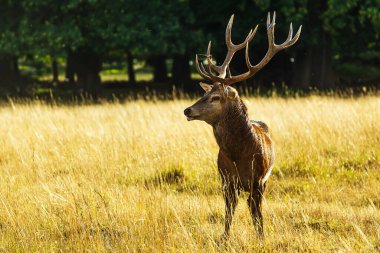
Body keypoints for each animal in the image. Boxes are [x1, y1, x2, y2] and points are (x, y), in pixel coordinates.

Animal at [183, 12, 302, 239]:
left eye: (215, 97)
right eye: (204, 93)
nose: (187, 110)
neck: (238, 156)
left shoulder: (258, 181)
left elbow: (257, 214)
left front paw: (261, 239)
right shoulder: (225, 180)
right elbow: (229, 211)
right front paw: (224, 239)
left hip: (265, 180)